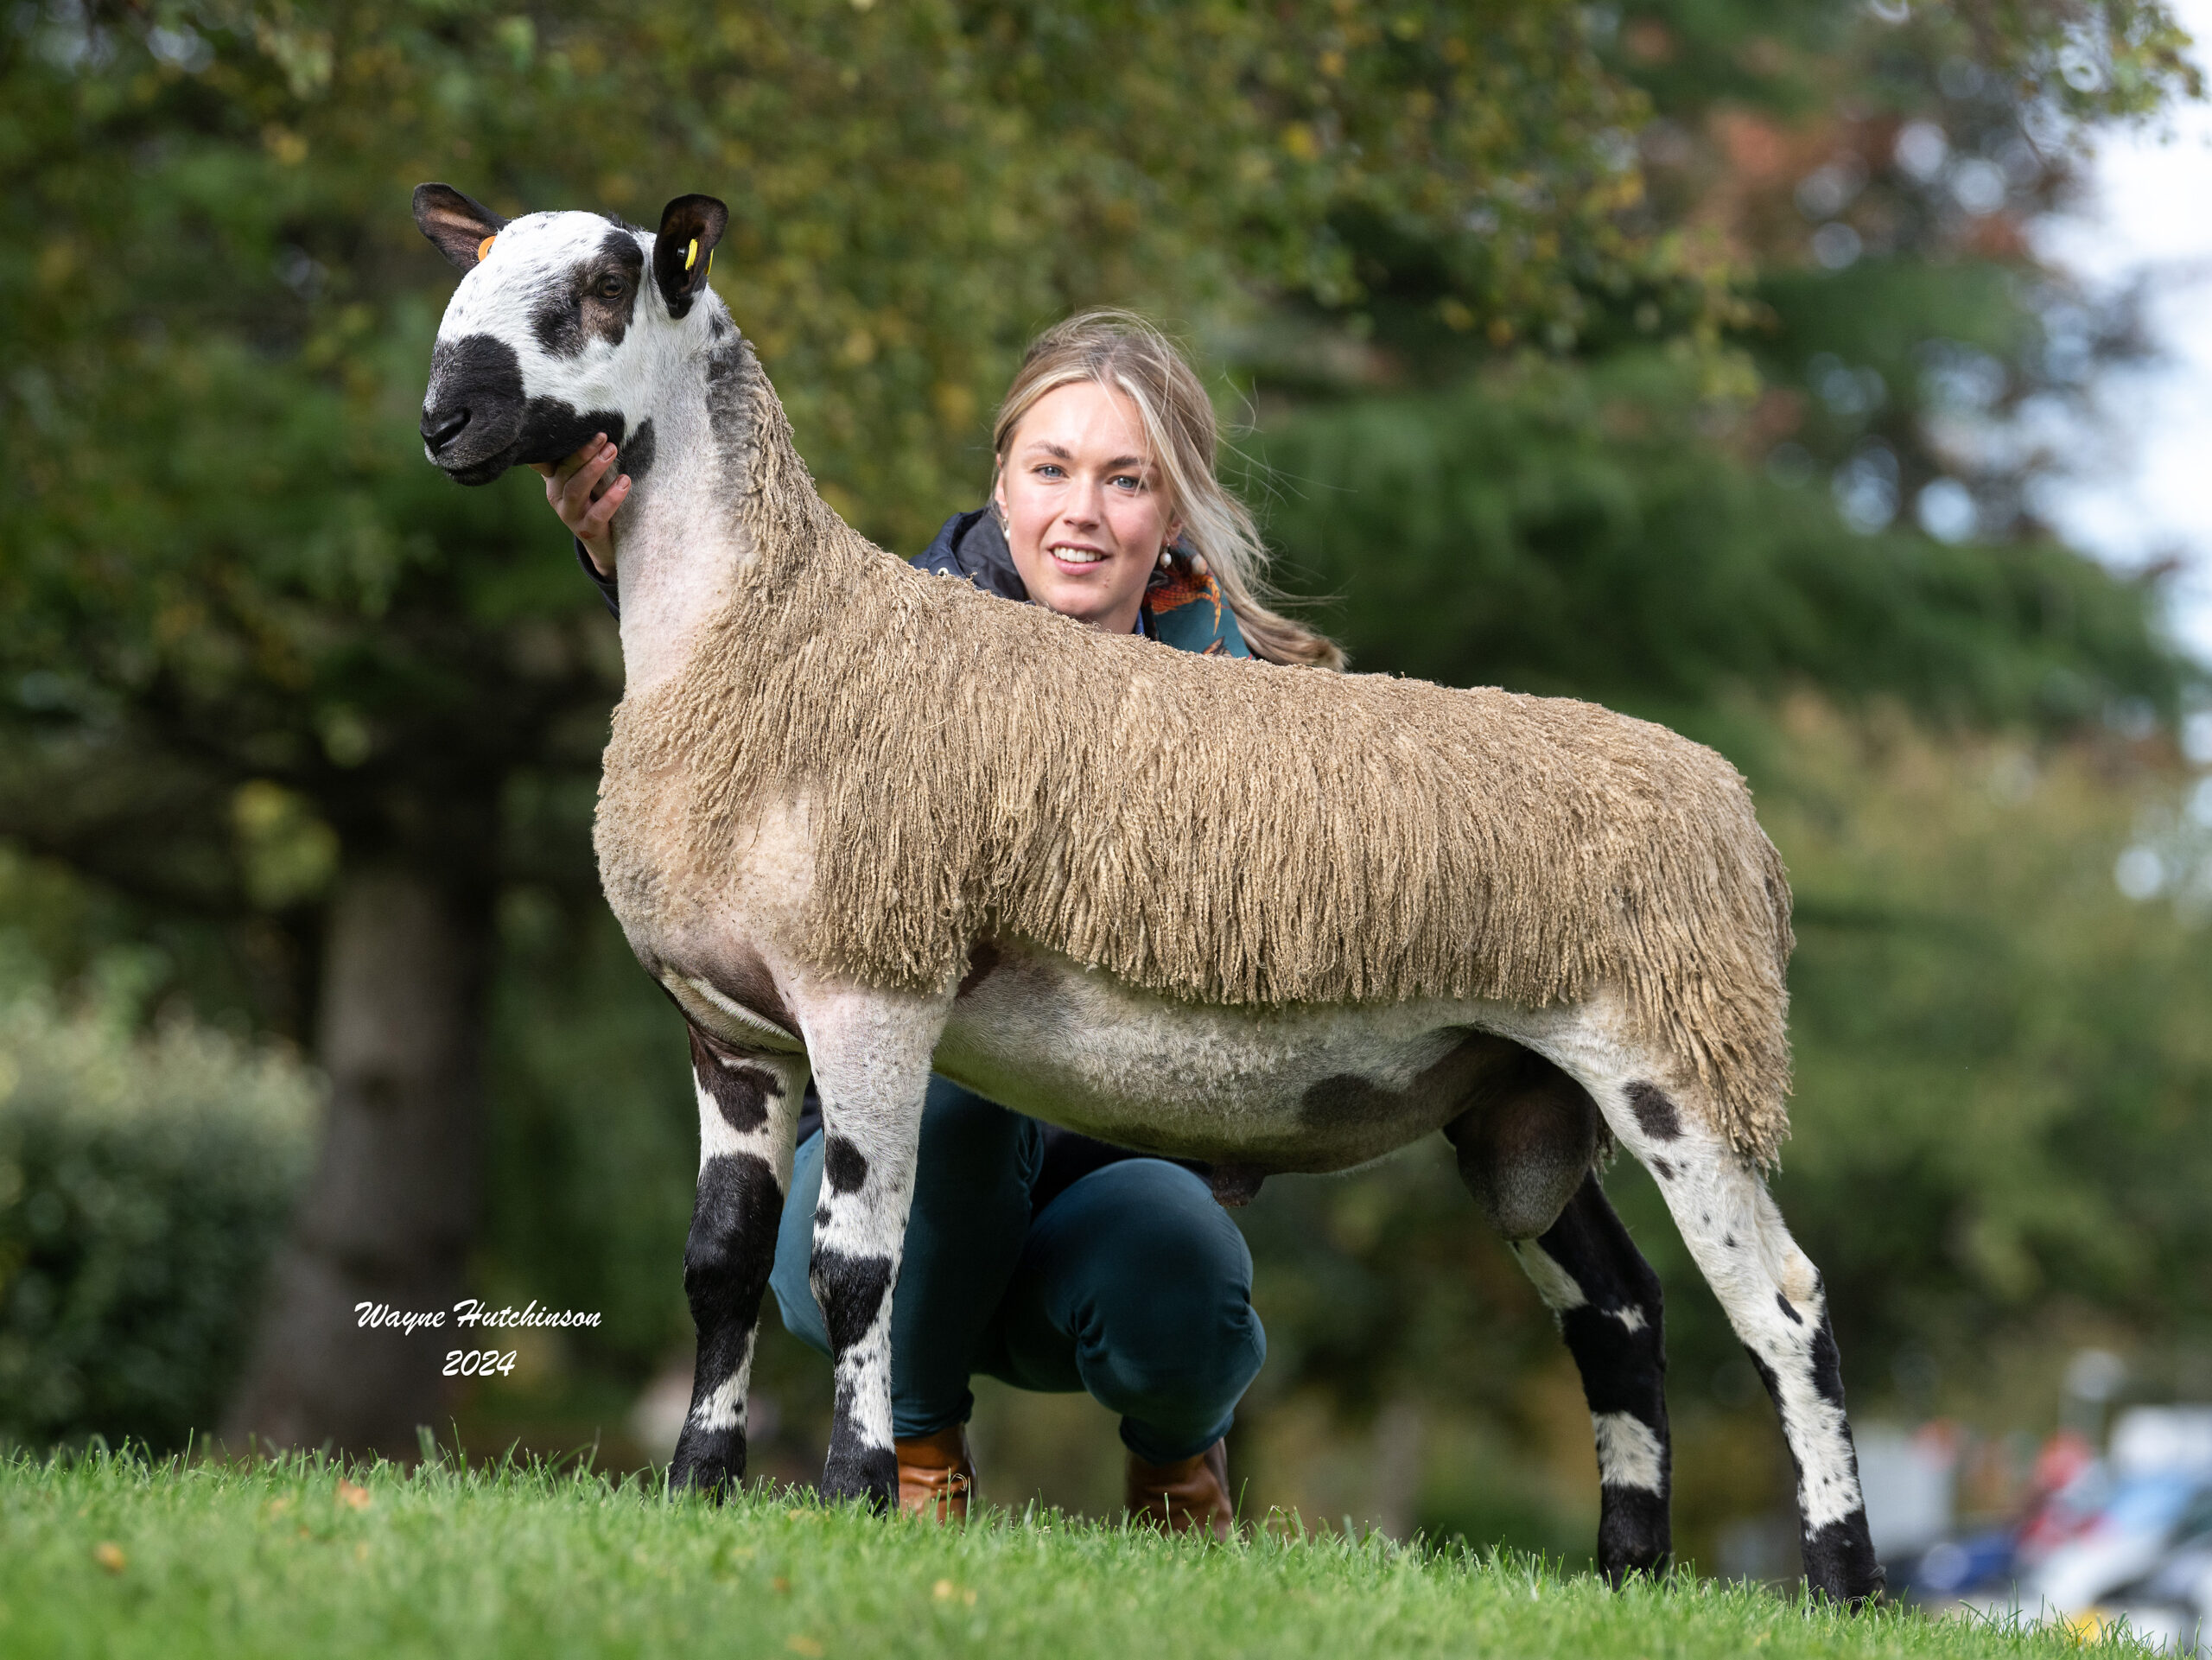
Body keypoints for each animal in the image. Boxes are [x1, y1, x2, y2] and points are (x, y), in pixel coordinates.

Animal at [411, 184, 1885, 1611]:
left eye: (607, 286)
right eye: (472, 268)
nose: (445, 420)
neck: (761, 629)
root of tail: (1737, 814)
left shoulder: (869, 981)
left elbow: (852, 1267)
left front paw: (851, 1496)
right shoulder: (732, 1028)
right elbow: (721, 1266)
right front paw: (693, 1490)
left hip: (1674, 1058)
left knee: (1784, 1308)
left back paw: (1843, 1584)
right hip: (1520, 1091)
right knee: (1621, 1314)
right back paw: (1631, 1570)